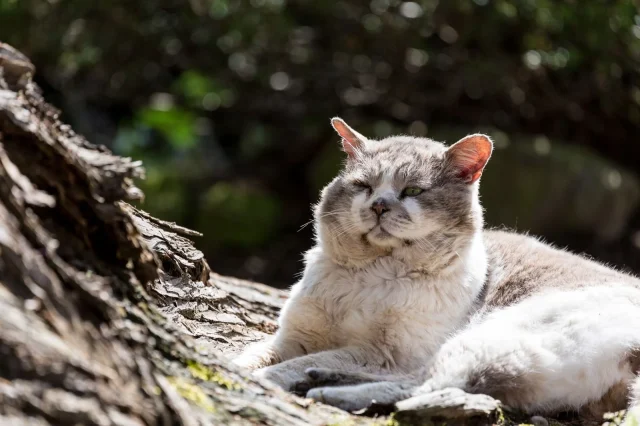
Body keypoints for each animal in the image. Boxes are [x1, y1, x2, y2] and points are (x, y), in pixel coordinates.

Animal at [232, 116, 640, 420]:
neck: (371, 273)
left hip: (490, 337)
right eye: (364, 186)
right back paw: (323, 382)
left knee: (427, 386)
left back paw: (324, 389)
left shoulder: (386, 352)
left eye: (412, 191)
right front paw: (234, 366)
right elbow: (254, 354)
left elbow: (292, 364)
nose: (379, 205)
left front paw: (268, 378)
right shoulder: (293, 337)